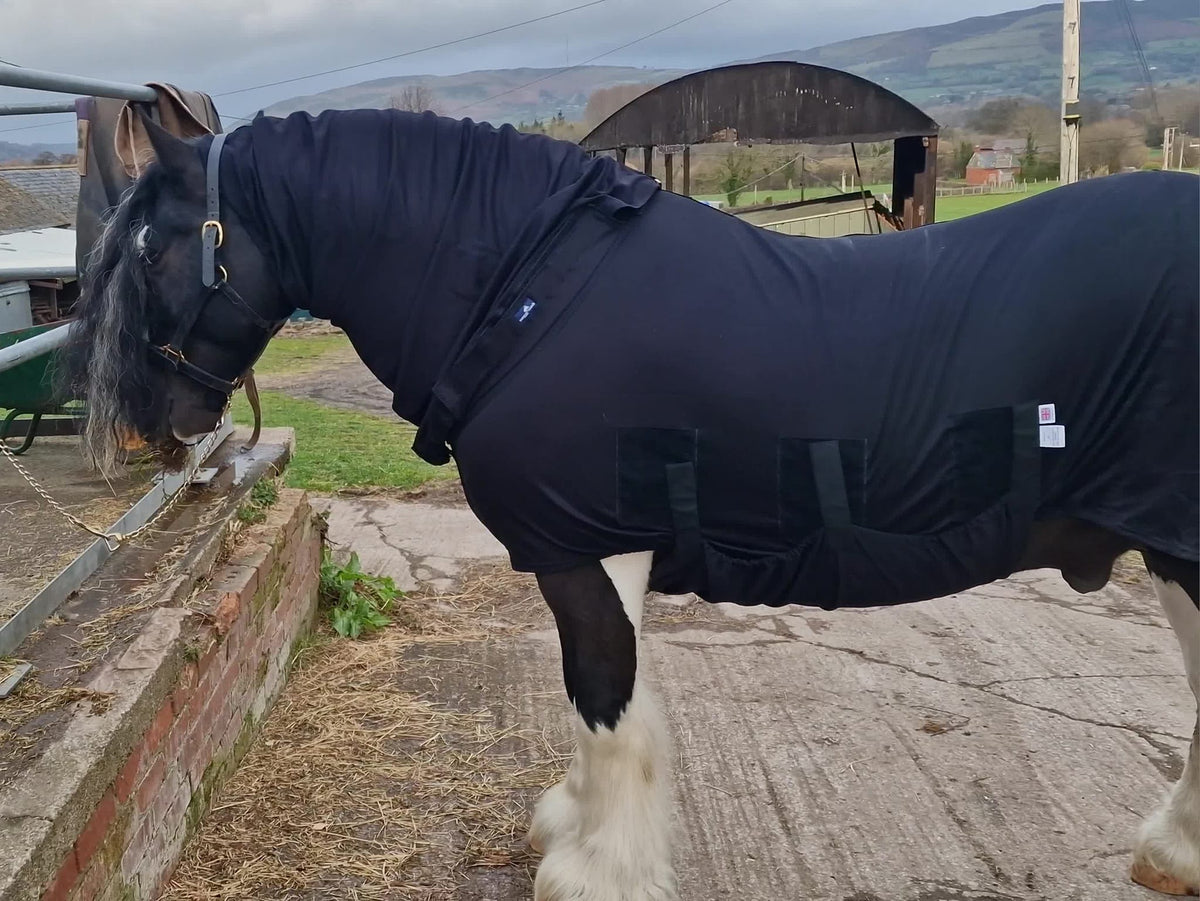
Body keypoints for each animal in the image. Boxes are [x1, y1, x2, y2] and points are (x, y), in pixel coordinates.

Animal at [62, 107, 1198, 900]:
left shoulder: (589, 548)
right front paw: (570, 826)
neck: (529, 295)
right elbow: (594, 707)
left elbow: (610, 709)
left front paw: (594, 870)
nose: (142, 428)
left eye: (153, 247)